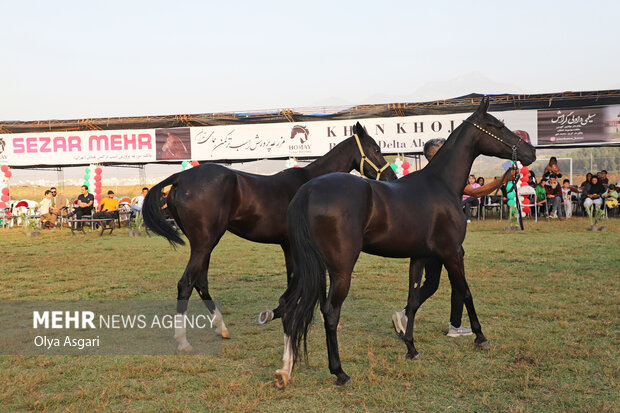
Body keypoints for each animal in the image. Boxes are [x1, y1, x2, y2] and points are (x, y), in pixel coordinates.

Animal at [142, 121, 398, 348]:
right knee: (186, 283)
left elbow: (298, 279)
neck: (311, 184)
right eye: (377, 150)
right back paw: (183, 341)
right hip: (205, 242)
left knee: (200, 281)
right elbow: (300, 280)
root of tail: (181, 178)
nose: (392, 180)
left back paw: (221, 327)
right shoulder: (298, 246)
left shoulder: (289, 246)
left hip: (204, 243)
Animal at [272, 98, 536, 388]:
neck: (440, 185)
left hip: (305, 265)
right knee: (329, 312)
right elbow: (465, 292)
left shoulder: (419, 257)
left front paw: (411, 347)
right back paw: (339, 372)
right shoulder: (452, 253)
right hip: (341, 269)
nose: (531, 152)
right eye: (496, 125)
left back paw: (286, 368)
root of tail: (307, 191)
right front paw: (481, 337)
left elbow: (412, 299)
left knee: (289, 306)